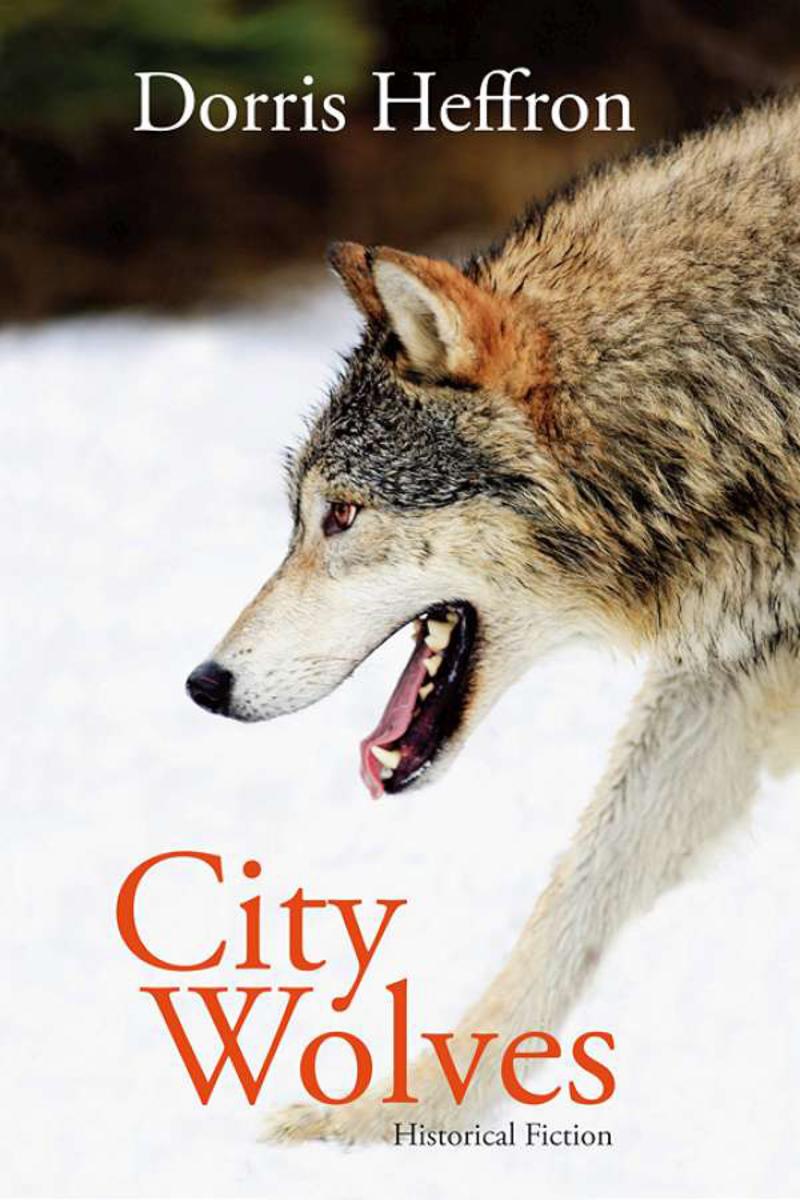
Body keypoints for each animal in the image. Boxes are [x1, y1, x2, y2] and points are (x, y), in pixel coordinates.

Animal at [186, 95, 800, 1142]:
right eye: (299, 516)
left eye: (340, 513)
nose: (203, 683)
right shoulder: (731, 670)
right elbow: (573, 904)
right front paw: (388, 1121)